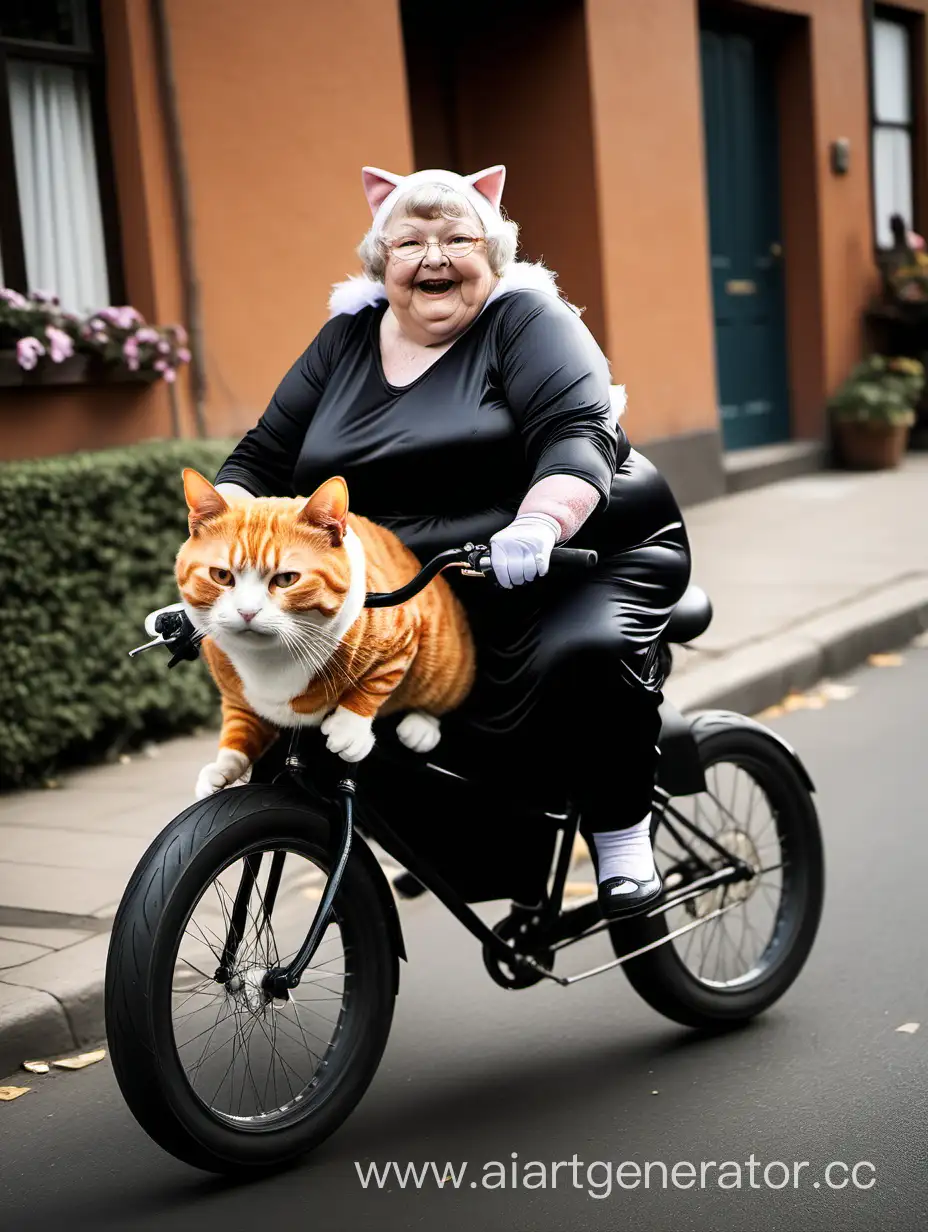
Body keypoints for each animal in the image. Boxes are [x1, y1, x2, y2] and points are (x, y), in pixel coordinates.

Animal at [176, 468, 473, 798]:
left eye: (286, 579)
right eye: (221, 576)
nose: (247, 612)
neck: (267, 660)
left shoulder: (404, 636)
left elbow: (377, 682)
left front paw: (349, 728)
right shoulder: (238, 696)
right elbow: (239, 726)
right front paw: (224, 768)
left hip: (445, 663)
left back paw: (420, 728)